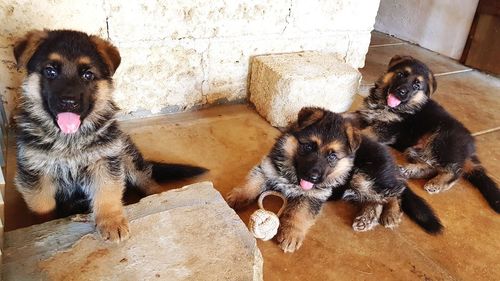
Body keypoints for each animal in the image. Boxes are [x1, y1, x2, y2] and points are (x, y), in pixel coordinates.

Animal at [13, 29, 207, 242]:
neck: (70, 141)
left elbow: (107, 192)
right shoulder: (36, 173)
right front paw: (42, 227)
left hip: (126, 154)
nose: (69, 102)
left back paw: (160, 196)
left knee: (146, 178)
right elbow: (43, 206)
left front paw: (111, 221)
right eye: (50, 72)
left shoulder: (105, 161)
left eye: (88, 75)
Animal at [227, 106, 442, 252]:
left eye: (332, 156)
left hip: (362, 177)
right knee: (375, 200)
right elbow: (250, 184)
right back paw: (366, 219)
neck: (292, 174)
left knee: (396, 192)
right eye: (308, 147)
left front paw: (291, 234)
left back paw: (391, 214)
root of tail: (389, 159)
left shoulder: (312, 196)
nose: (313, 176)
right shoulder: (265, 171)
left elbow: (300, 213)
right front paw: (235, 198)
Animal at [352, 54, 500, 212]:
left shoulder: (386, 129)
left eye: (416, 86)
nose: (401, 91)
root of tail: (470, 150)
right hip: (416, 150)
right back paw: (408, 170)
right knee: (431, 167)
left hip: (440, 143)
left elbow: (363, 132)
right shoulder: (364, 116)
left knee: (454, 171)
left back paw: (436, 183)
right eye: (400, 74)